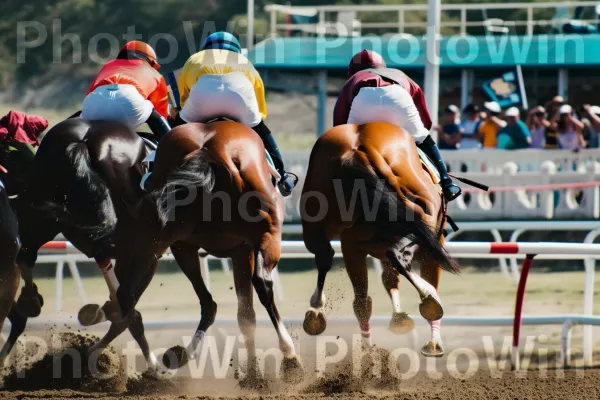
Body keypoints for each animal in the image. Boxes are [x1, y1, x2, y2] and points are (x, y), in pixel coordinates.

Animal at [86, 121, 304, 382]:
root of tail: (207, 151)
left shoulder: (183, 243)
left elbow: (240, 312)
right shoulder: (245, 250)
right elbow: (246, 312)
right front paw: (255, 374)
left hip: (163, 240)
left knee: (131, 295)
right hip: (267, 235)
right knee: (260, 285)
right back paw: (290, 356)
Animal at [300, 121, 460, 356]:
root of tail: (357, 149)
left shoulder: (355, 246)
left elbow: (386, 281)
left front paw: (399, 318)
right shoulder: (432, 246)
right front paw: (432, 338)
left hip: (322, 228)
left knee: (330, 263)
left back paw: (318, 314)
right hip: (423, 216)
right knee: (399, 253)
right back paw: (428, 298)